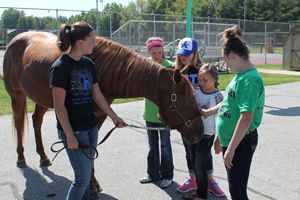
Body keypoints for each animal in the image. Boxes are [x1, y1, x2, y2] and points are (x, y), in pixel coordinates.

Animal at [2, 32, 204, 196]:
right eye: (188, 100)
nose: (199, 134)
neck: (103, 69)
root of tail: (14, 41)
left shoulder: (99, 117)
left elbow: (91, 150)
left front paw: (93, 185)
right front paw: (91, 186)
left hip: (41, 98)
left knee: (36, 121)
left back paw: (43, 157)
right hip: (17, 96)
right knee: (19, 123)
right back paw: (21, 158)